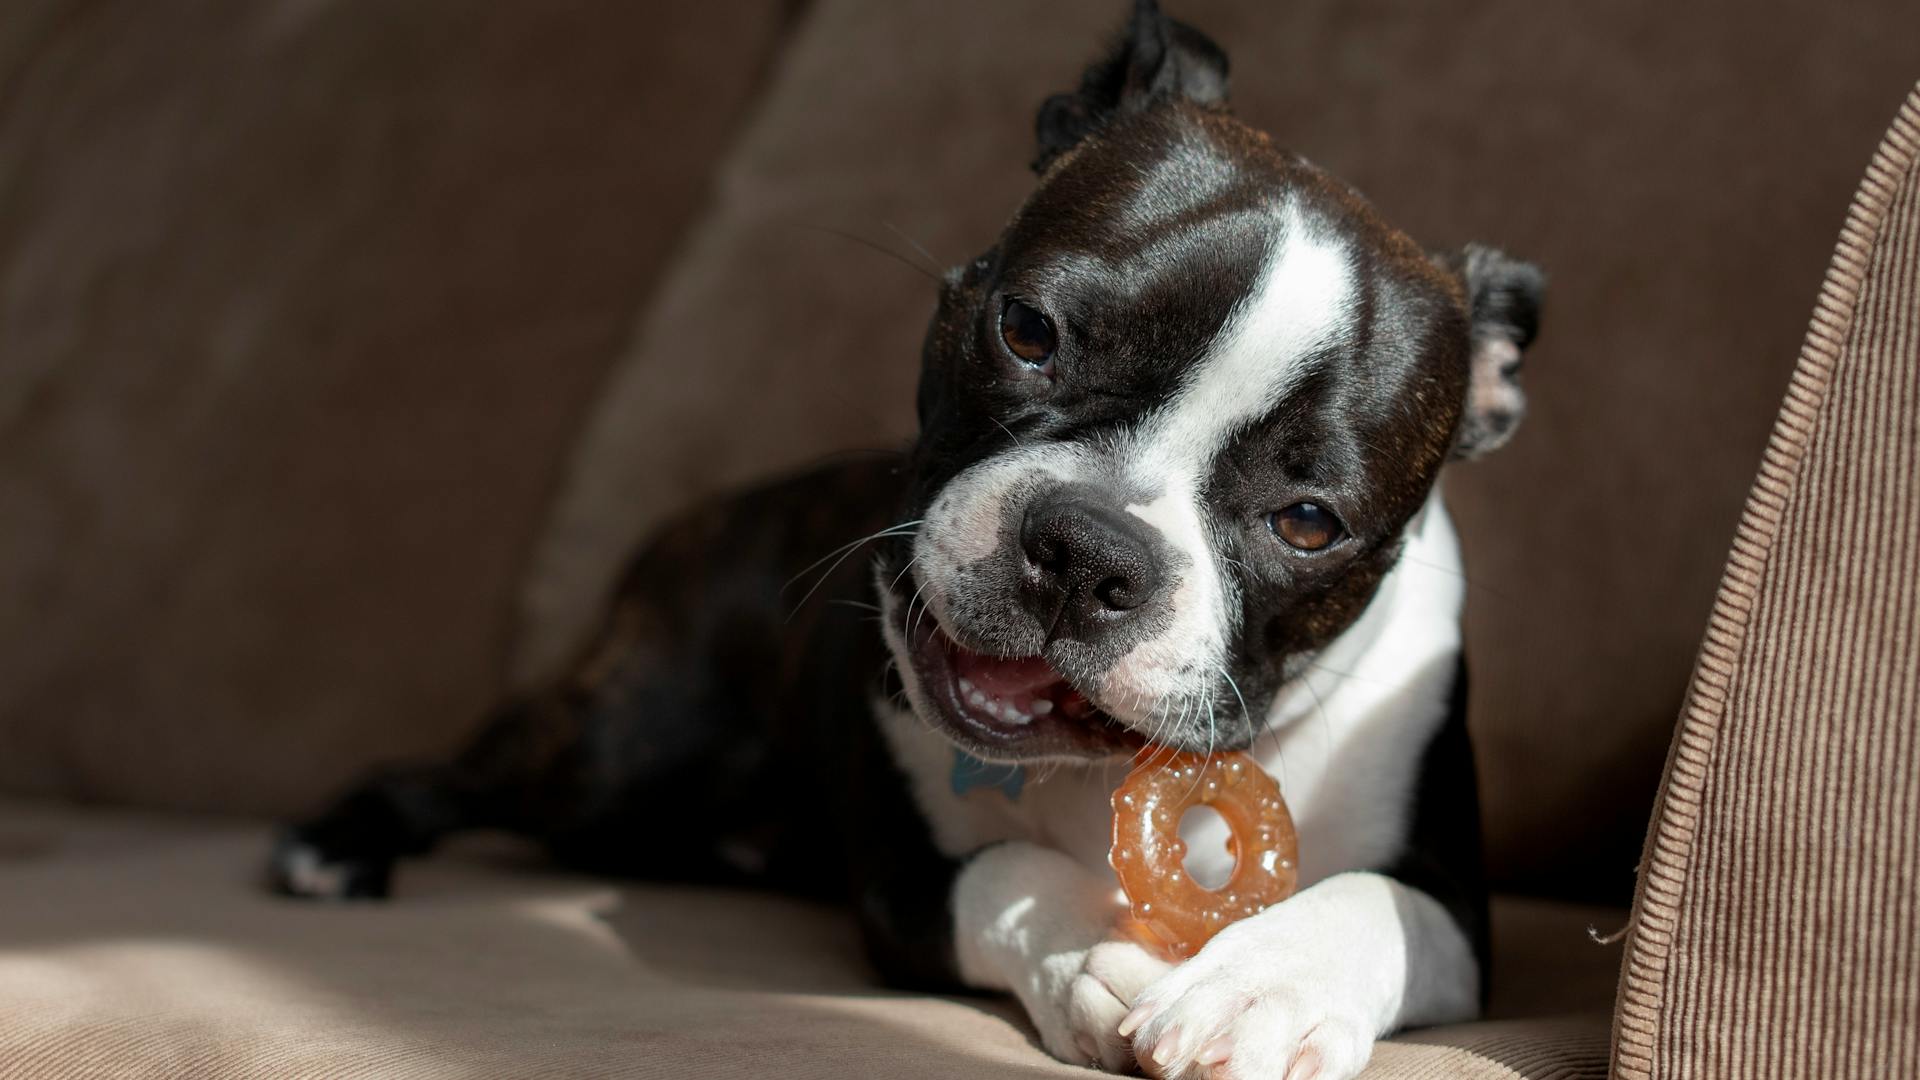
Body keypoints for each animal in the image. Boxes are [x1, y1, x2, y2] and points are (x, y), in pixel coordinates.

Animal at [274, 4, 1543, 1068]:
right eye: (1028, 331)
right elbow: (1007, 871)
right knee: (463, 772)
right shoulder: (900, 880)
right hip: (616, 756)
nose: (1088, 550)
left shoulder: (1459, 908)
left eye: (1309, 521)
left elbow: (1373, 905)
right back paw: (334, 845)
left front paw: (1259, 989)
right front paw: (1095, 952)